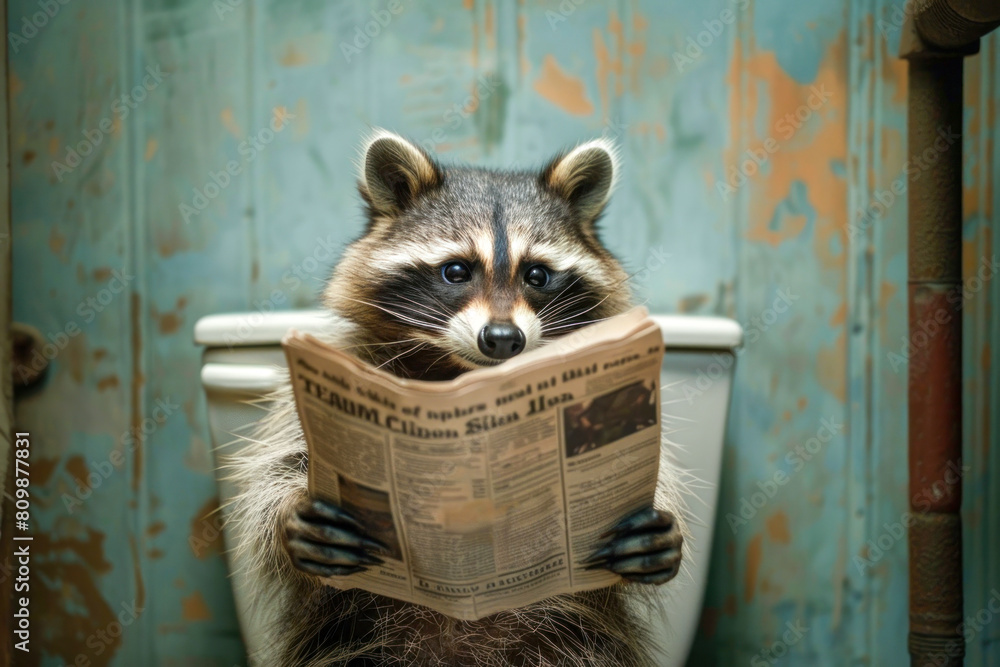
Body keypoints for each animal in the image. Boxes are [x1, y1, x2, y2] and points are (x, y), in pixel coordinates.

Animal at [226, 131, 687, 666]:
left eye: (537, 276)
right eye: (455, 271)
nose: (503, 338)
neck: (462, 379)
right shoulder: (348, 364)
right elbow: (281, 463)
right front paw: (291, 510)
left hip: (574, 642)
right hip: (353, 638)